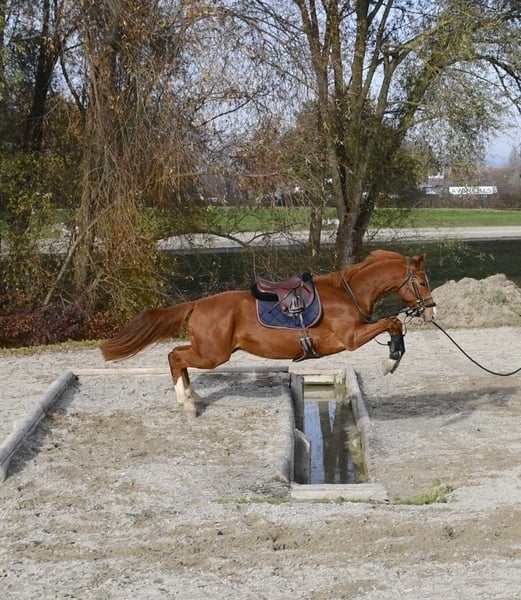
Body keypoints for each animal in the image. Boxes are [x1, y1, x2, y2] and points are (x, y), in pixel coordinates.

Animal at [100, 250, 436, 405]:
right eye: (421, 282)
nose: (432, 310)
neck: (348, 292)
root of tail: (197, 304)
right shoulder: (351, 338)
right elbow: (393, 322)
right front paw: (390, 361)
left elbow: (393, 324)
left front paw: (393, 357)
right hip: (213, 354)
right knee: (175, 356)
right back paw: (185, 402)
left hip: (208, 350)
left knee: (178, 356)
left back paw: (191, 396)